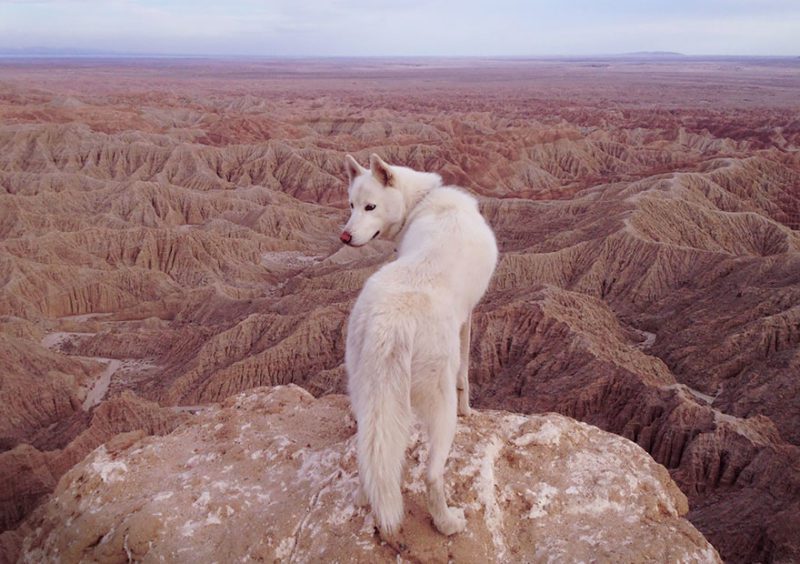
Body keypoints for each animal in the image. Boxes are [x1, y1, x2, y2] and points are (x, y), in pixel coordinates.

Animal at [340, 153, 496, 536]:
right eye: (351, 204)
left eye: (368, 206)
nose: (345, 236)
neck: (425, 200)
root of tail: (391, 323)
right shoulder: (469, 318)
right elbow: (466, 376)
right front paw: (470, 411)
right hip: (439, 406)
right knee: (432, 474)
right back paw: (447, 522)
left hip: (364, 390)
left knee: (370, 454)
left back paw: (367, 499)